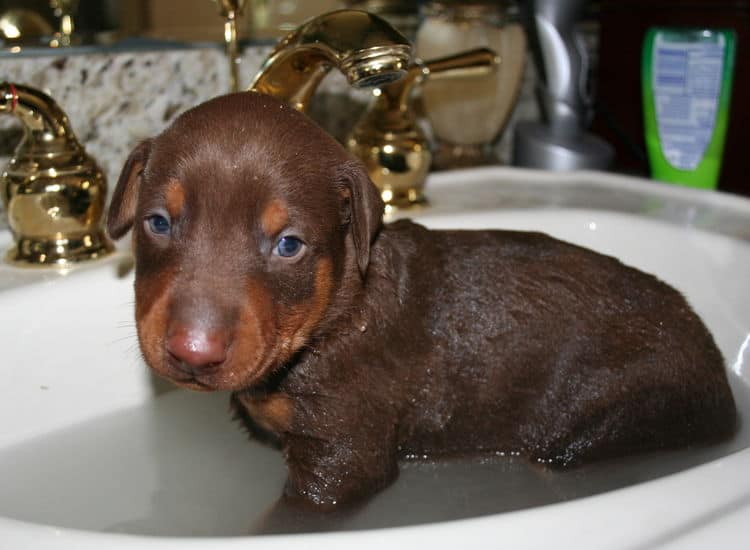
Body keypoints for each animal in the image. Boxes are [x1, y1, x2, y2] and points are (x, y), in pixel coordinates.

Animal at [108, 91, 736, 512]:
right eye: (157, 222)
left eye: (289, 245)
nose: (193, 352)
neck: (335, 317)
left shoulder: (342, 452)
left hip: (629, 410)